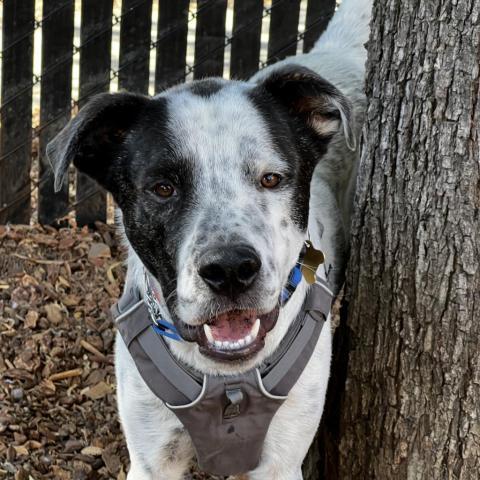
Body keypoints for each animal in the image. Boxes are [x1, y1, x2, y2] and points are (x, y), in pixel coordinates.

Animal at [47, 1, 372, 478]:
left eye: (272, 178)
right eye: (162, 188)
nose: (231, 269)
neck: (226, 379)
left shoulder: (279, 462)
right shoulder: (152, 460)